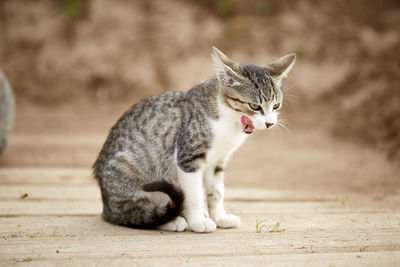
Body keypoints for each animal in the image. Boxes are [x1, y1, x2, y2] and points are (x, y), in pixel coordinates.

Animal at [92, 47, 296, 233]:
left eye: (276, 106)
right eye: (254, 106)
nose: (270, 123)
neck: (229, 120)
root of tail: (106, 206)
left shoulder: (217, 162)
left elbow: (216, 192)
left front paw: (219, 217)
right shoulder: (188, 158)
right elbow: (195, 195)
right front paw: (198, 221)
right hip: (127, 166)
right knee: (131, 215)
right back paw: (170, 220)